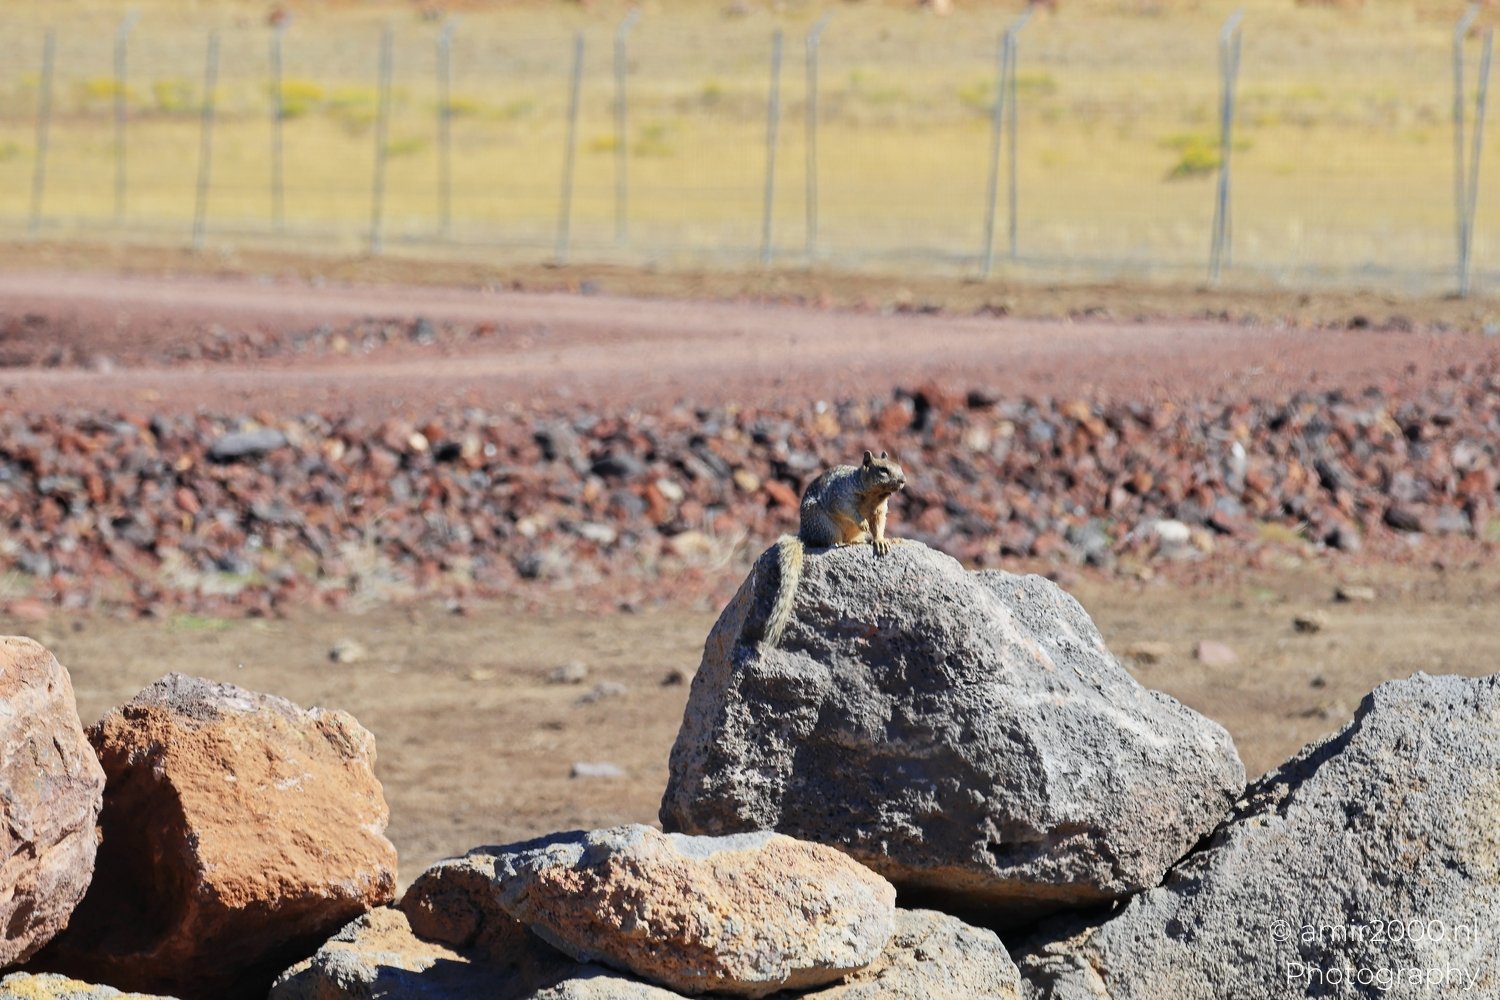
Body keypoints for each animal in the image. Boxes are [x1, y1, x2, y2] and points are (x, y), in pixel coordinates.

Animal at [753, 450, 908, 648]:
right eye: (883, 470)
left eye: (900, 467)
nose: (903, 480)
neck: (875, 495)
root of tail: (805, 534)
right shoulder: (841, 496)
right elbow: (848, 510)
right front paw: (863, 523)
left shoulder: (880, 511)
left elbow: (879, 525)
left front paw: (881, 541)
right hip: (825, 524)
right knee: (830, 541)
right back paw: (844, 543)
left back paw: (862, 541)